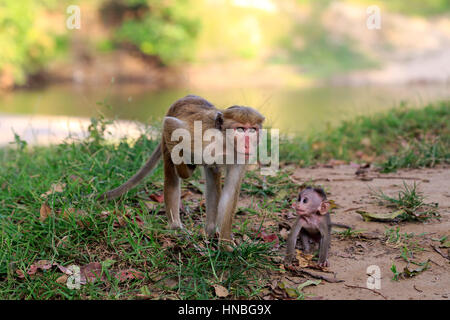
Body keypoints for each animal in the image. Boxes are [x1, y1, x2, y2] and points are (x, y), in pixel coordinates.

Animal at [98, 95, 264, 248]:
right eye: (240, 129)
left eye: (252, 130)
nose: (247, 144)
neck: (225, 143)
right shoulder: (202, 138)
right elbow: (172, 126)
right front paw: (186, 170)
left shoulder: (241, 157)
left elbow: (229, 193)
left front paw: (226, 244)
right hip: (166, 138)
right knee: (172, 175)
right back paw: (176, 226)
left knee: (212, 175)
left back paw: (210, 230)